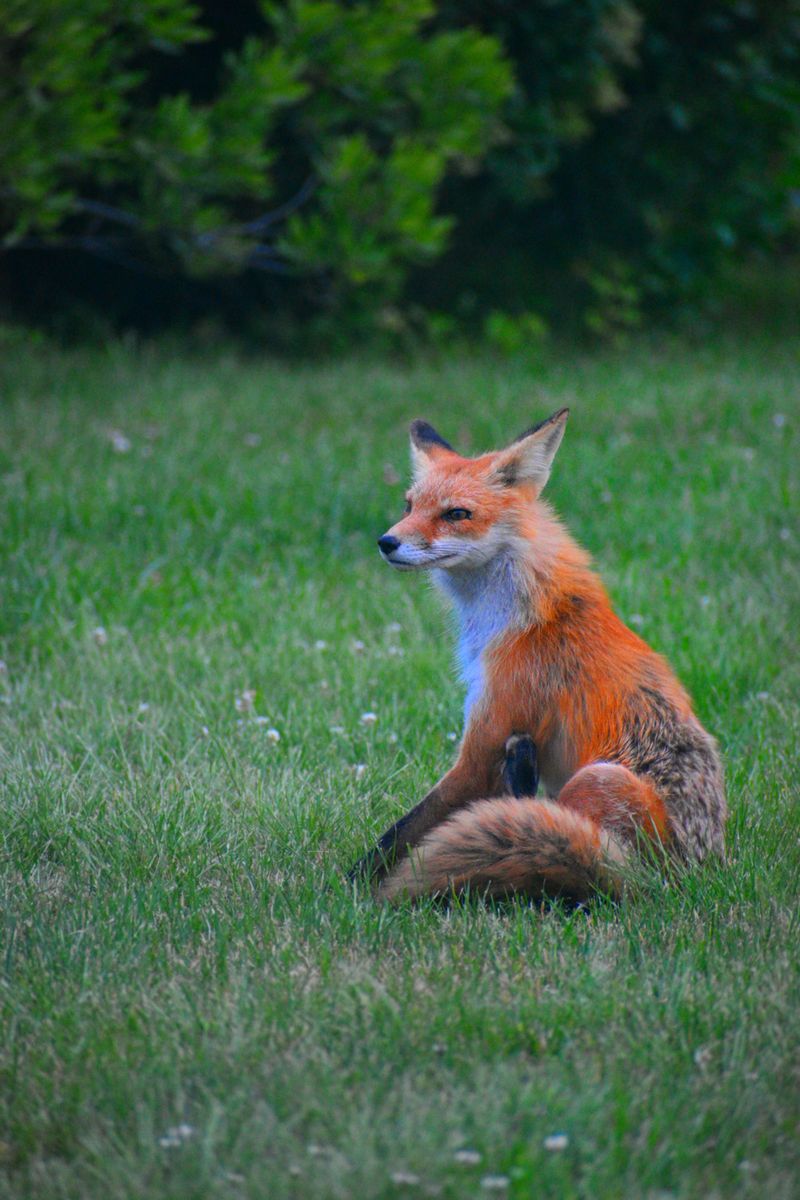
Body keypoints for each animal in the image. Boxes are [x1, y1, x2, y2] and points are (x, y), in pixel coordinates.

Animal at [350, 408, 726, 902]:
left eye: (456, 514)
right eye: (408, 506)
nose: (386, 542)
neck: (511, 614)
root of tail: (693, 875)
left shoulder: (487, 734)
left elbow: (403, 831)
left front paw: (344, 885)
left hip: (597, 781)